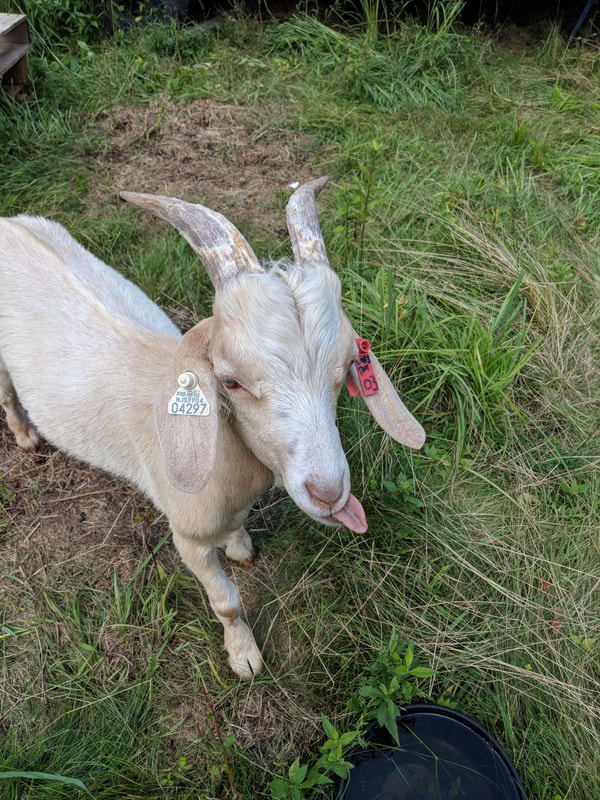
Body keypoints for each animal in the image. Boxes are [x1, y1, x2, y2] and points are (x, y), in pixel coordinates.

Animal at [0, 177, 424, 679]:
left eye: (344, 371)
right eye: (230, 380)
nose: (328, 493)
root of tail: (8, 223)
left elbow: (237, 531)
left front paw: (240, 546)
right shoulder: (187, 535)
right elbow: (226, 602)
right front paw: (244, 657)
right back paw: (24, 434)